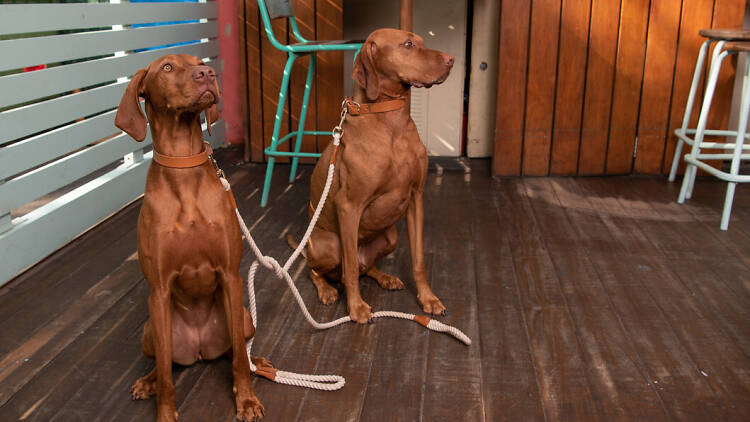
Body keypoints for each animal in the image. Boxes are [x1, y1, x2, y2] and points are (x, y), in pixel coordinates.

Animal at [116, 55, 268, 422]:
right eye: (167, 68)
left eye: (200, 62)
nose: (208, 73)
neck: (183, 164)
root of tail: (200, 348)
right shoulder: (158, 291)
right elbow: (167, 375)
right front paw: (165, 413)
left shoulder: (230, 276)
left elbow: (238, 359)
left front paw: (246, 400)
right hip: (150, 329)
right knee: (165, 363)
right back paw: (148, 381)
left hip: (243, 317)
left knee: (235, 352)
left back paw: (257, 362)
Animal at [296, 28, 456, 324]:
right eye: (408, 44)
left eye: (422, 42)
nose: (451, 59)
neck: (392, 121)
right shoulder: (349, 207)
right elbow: (348, 271)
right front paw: (356, 307)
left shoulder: (416, 199)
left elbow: (418, 260)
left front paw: (427, 298)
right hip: (327, 245)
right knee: (324, 270)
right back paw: (326, 290)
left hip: (390, 236)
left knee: (363, 268)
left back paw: (385, 277)